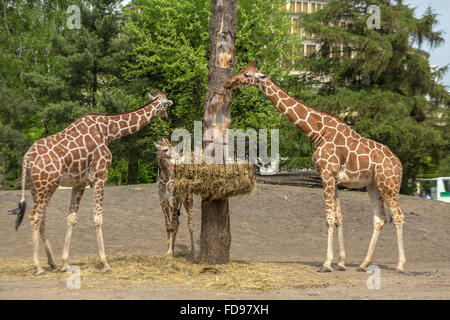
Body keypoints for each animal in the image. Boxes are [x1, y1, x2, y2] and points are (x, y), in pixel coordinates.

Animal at [9, 90, 174, 276]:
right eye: (166, 106)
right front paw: (104, 262)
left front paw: (65, 262)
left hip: (36, 187)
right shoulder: (101, 176)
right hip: (47, 185)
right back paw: (37, 266)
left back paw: (52, 263)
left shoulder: (79, 183)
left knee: (41, 218)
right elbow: (98, 218)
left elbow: (71, 218)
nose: (166, 118)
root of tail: (27, 159)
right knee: (35, 216)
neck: (109, 131)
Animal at [225, 62, 408, 272]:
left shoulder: (326, 175)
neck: (317, 132)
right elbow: (338, 218)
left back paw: (400, 265)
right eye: (240, 70)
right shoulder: (334, 179)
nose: (228, 83)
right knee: (380, 218)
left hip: (389, 185)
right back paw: (363, 264)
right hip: (373, 185)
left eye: (247, 74)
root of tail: (399, 164)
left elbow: (329, 219)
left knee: (398, 215)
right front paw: (341, 262)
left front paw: (327, 263)